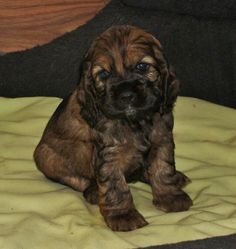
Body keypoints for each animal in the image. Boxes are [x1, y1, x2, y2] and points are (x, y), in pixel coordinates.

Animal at [34, 25, 193, 231]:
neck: (135, 122)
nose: (126, 95)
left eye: (142, 67)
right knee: (77, 179)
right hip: (45, 155)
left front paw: (170, 196)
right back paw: (93, 191)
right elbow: (115, 186)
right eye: (103, 74)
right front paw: (123, 215)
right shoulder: (110, 155)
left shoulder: (163, 140)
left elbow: (163, 168)